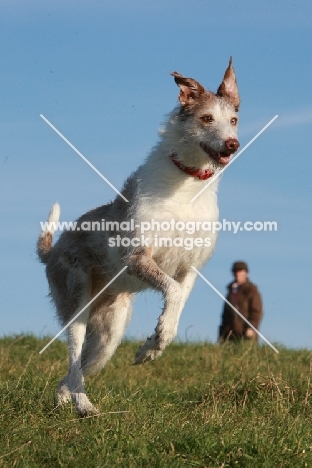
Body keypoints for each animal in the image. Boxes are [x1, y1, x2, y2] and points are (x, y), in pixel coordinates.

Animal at [37, 56, 241, 414]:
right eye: (206, 118)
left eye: (233, 119)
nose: (233, 143)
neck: (188, 183)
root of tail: (54, 248)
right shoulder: (137, 257)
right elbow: (172, 291)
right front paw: (156, 340)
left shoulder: (190, 267)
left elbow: (178, 299)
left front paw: (154, 345)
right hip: (76, 302)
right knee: (74, 356)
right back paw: (84, 405)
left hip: (110, 332)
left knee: (75, 370)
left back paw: (67, 400)